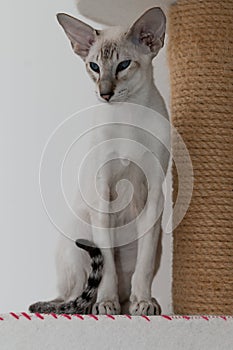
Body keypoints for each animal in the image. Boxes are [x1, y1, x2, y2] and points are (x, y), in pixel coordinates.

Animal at [30, 6, 170, 316]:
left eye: (123, 65)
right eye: (94, 67)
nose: (105, 94)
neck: (128, 113)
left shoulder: (155, 191)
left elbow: (141, 269)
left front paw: (144, 303)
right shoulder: (103, 191)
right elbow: (107, 268)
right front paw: (107, 304)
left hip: (154, 246)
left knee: (126, 284)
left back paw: (142, 302)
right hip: (78, 242)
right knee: (71, 297)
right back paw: (95, 304)